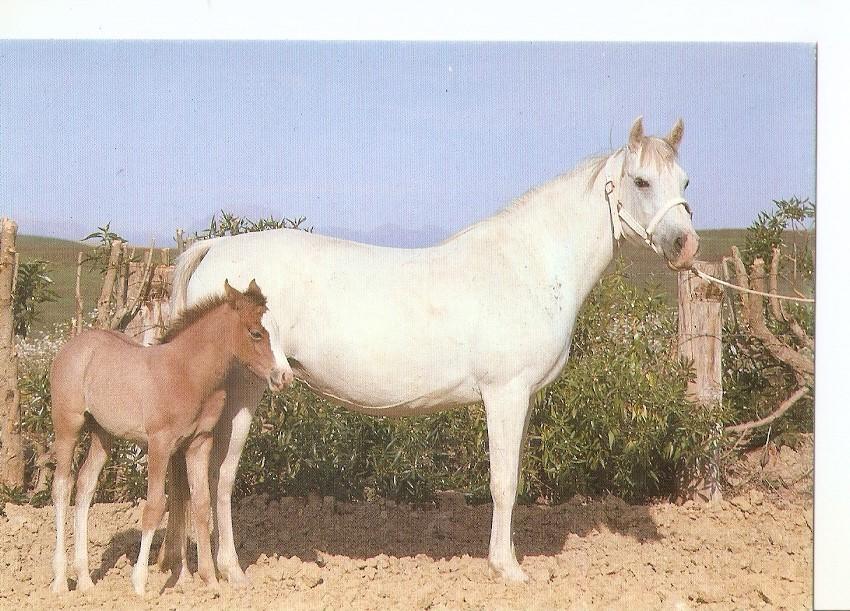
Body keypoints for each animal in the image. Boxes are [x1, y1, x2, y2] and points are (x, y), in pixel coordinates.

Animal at [49, 280, 294, 596]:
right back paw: (59, 581)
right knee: (62, 487)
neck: (187, 372)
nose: (284, 376)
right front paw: (140, 583)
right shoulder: (159, 444)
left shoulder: (199, 442)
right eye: (256, 332)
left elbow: (201, 504)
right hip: (68, 426)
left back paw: (85, 581)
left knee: (85, 485)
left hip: (103, 434)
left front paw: (210, 579)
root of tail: (73, 346)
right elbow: (155, 506)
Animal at [160, 116, 699, 583]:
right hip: (243, 390)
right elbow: (503, 483)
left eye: (685, 182)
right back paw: (231, 572)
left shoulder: (521, 398)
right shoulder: (504, 394)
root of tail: (218, 247)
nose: (686, 245)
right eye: (641, 181)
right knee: (218, 475)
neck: (529, 265)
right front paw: (508, 569)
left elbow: (512, 477)